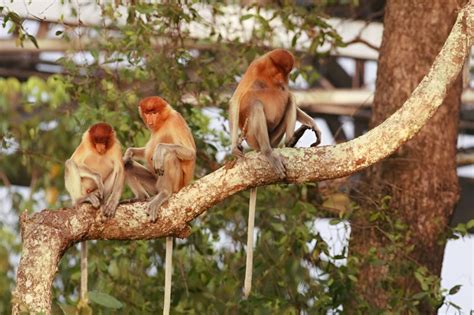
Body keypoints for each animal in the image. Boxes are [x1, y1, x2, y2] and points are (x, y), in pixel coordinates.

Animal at [64, 123, 125, 306]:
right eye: (96, 140)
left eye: (104, 140)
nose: (100, 147)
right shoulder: (85, 143)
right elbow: (74, 161)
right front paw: (97, 177)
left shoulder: (116, 146)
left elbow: (120, 169)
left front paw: (112, 204)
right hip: (82, 188)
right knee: (70, 164)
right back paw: (82, 199)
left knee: (115, 171)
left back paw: (101, 199)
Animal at [124, 96, 196, 315]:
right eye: (148, 113)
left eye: (154, 112)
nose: (150, 120)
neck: (163, 122)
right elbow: (134, 155)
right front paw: (129, 152)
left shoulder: (176, 120)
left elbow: (188, 152)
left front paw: (159, 150)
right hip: (153, 182)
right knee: (126, 166)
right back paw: (139, 197)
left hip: (176, 183)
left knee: (171, 157)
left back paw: (163, 194)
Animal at [228, 48, 320, 298]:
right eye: (278, 69)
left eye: (286, 72)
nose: (281, 80)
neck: (269, 74)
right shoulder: (255, 67)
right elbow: (236, 100)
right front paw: (234, 148)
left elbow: (288, 96)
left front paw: (314, 125)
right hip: (253, 135)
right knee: (256, 106)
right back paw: (269, 152)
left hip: (275, 133)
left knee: (290, 98)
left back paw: (291, 140)